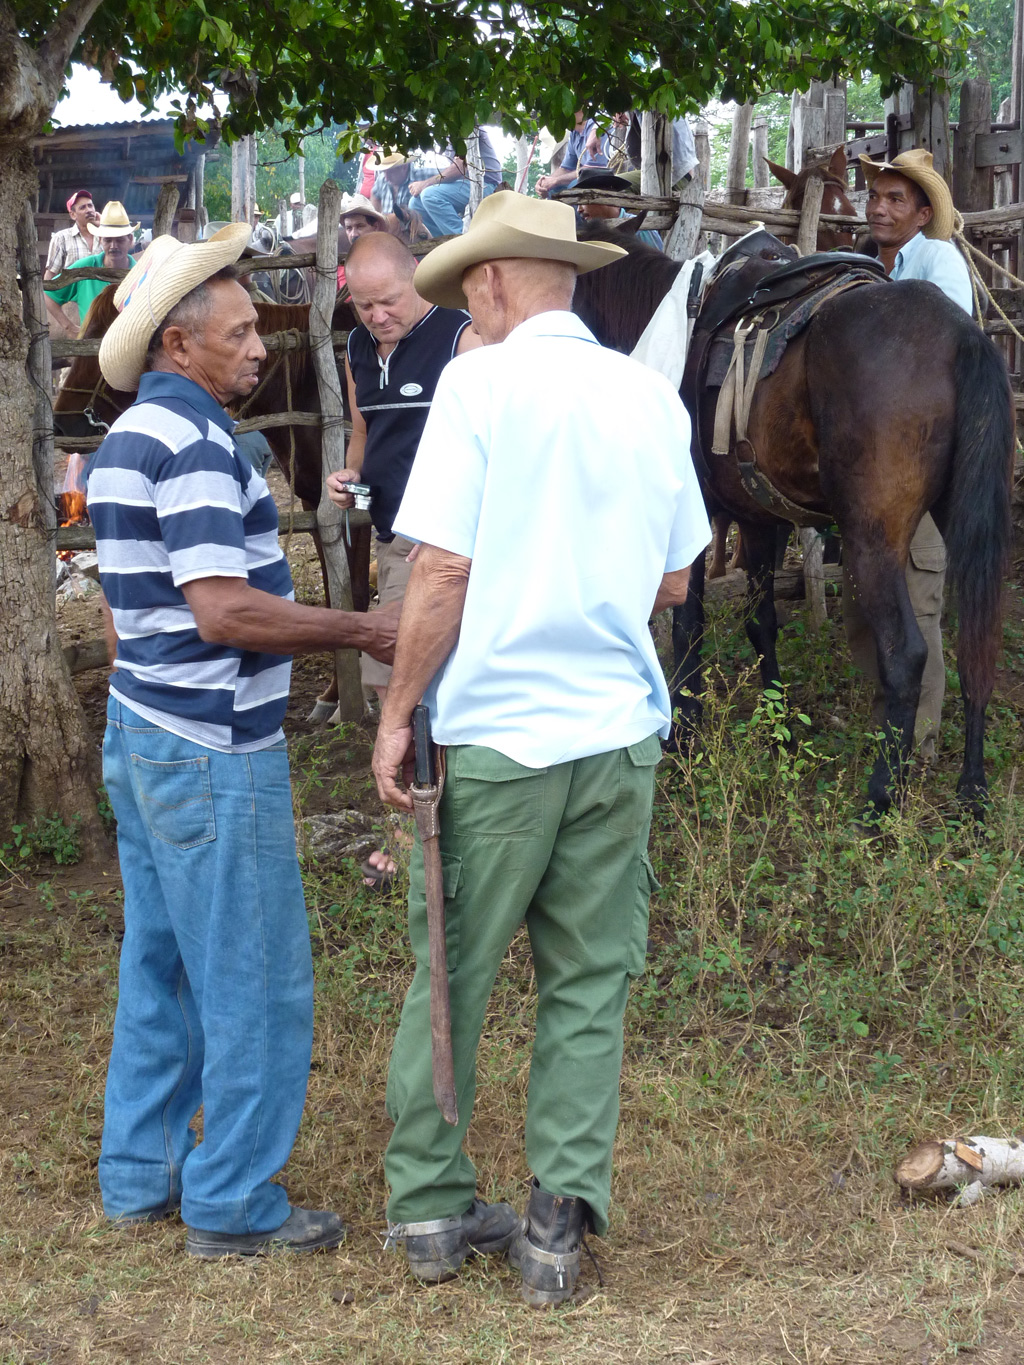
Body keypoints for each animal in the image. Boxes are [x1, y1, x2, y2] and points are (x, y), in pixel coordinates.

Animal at [573, 224, 1015, 815]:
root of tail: (962, 335)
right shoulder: (760, 520)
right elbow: (762, 623)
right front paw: (776, 725)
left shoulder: (695, 520)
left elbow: (689, 623)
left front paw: (685, 732)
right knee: (974, 647)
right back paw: (972, 786)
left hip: (871, 538)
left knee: (907, 654)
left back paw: (881, 797)